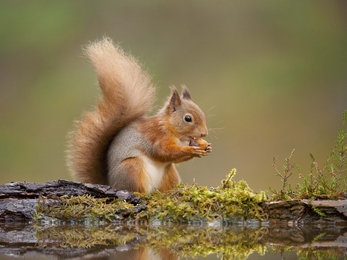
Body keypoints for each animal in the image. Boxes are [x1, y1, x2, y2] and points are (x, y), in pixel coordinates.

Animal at [66, 38, 212, 193]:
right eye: (188, 118)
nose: (204, 133)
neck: (170, 127)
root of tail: (112, 183)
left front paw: (206, 146)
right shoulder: (156, 136)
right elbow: (163, 152)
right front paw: (192, 150)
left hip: (169, 172)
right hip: (132, 167)